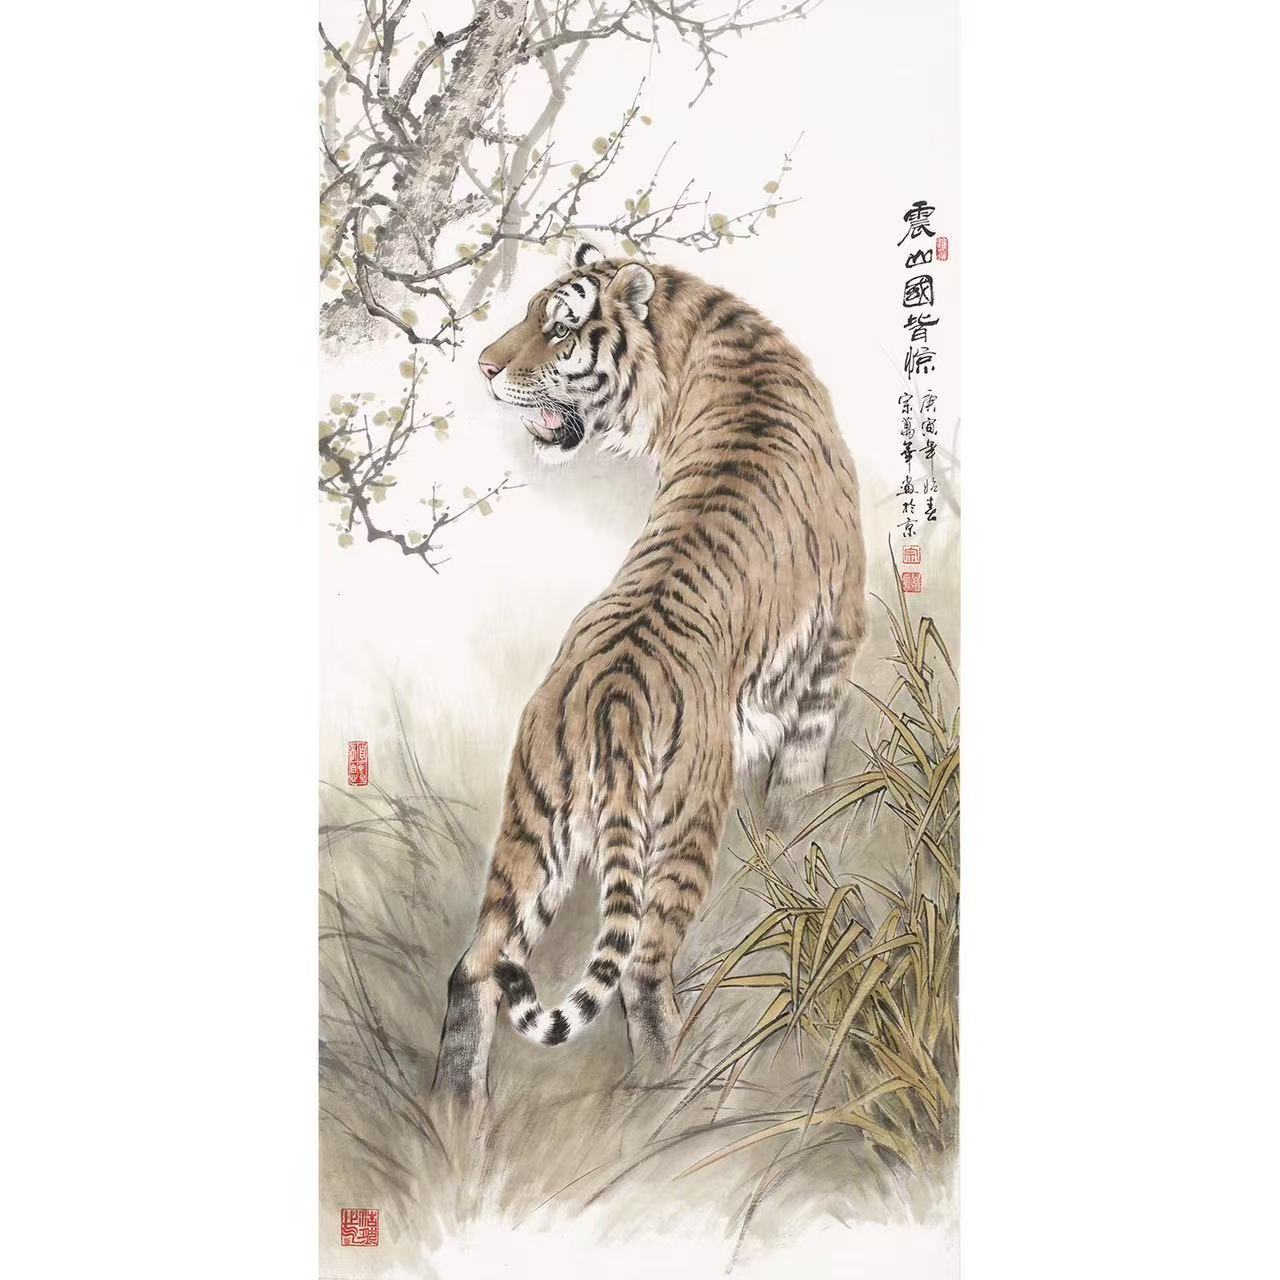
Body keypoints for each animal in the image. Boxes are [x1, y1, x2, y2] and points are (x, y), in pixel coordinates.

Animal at [431, 242, 866, 1105]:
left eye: (557, 327)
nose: (484, 367)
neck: (699, 327)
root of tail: (612, 697)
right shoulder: (837, 634)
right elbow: (802, 772)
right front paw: (799, 835)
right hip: (683, 824)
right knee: (638, 973)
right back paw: (674, 1100)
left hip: (533, 825)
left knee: (478, 968)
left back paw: (459, 1117)